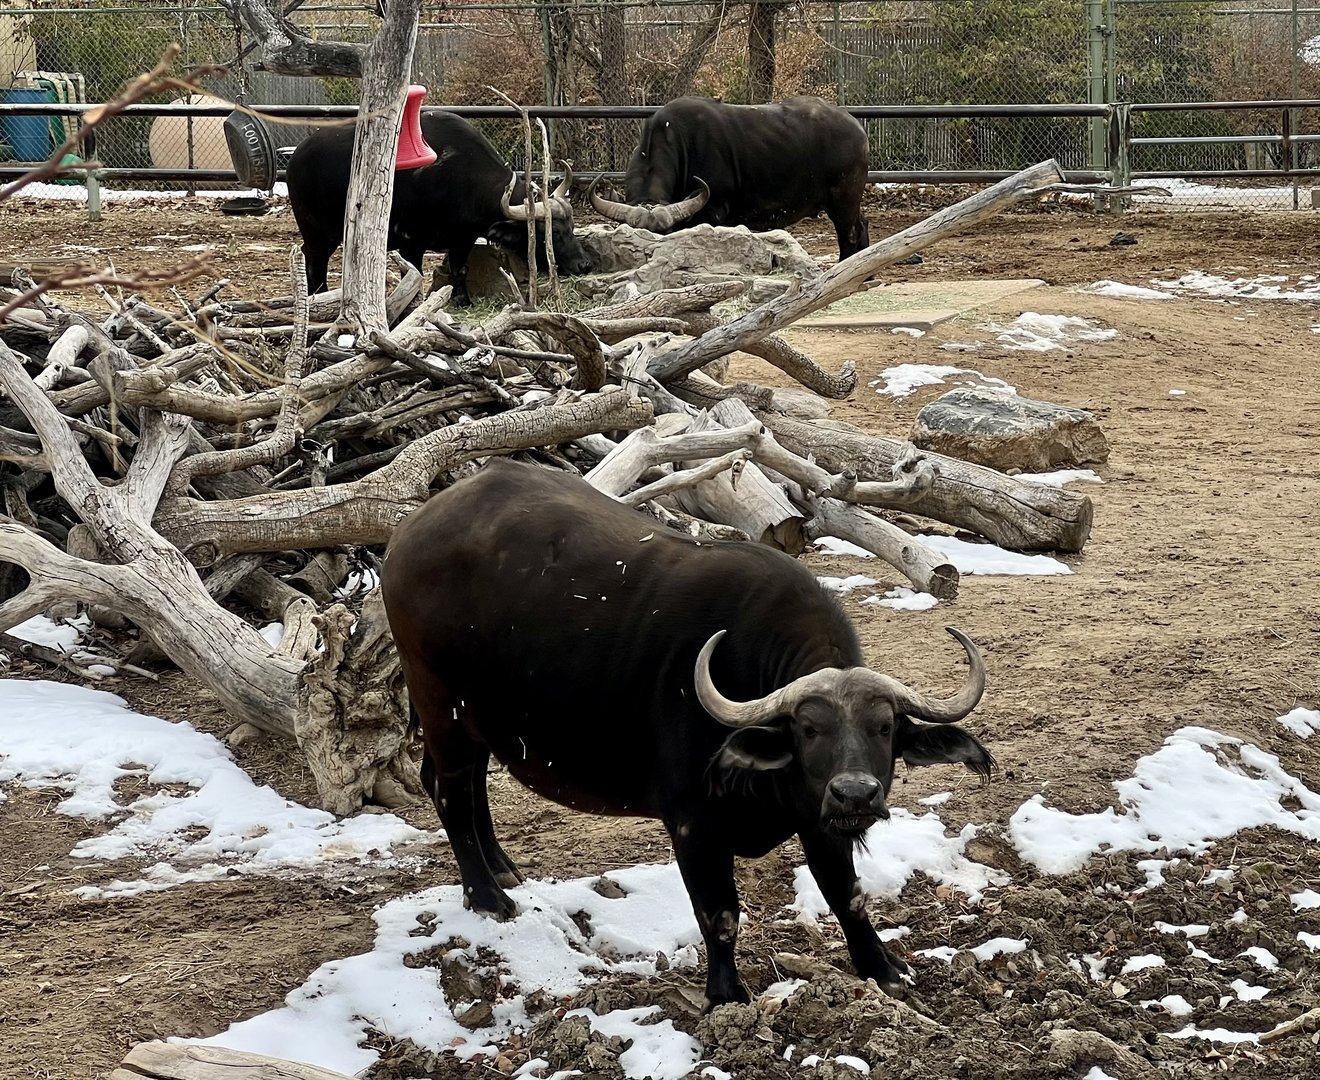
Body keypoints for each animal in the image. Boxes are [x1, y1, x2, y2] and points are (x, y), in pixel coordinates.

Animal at [286, 110, 592, 305]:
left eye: (571, 227)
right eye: (548, 233)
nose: (584, 264)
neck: (456, 176)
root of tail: (296, 157)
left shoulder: (462, 239)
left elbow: (460, 270)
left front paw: (462, 299)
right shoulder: (410, 242)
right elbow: (413, 277)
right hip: (314, 230)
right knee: (316, 263)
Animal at [382, 460, 994, 1006]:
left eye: (884, 727)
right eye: (808, 728)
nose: (855, 794)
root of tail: (404, 537)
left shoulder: (817, 818)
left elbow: (848, 897)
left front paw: (884, 969)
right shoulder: (693, 823)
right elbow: (718, 914)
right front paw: (726, 995)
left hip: (480, 720)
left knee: (467, 782)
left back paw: (503, 870)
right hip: (440, 703)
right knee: (448, 788)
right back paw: (486, 895)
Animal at [589, 95, 872, 261]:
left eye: (664, 234)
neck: (680, 144)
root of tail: (857, 128)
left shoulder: (711, 211)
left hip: (844, 198)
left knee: (850, 233)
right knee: (863, 224)